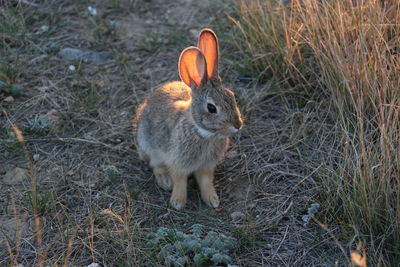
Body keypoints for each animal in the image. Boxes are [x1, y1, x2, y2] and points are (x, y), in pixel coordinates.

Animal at [134, 28, 242, 210]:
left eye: (232, 96)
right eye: (211, 108)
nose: (238, 125)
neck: (204, 134)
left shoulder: (206, 166)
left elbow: (206, 182)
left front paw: (212, 200)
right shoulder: (178, 162)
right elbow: (180, 181)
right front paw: (177, 202)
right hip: (148, 145)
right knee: (155, 165)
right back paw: (165, 182)